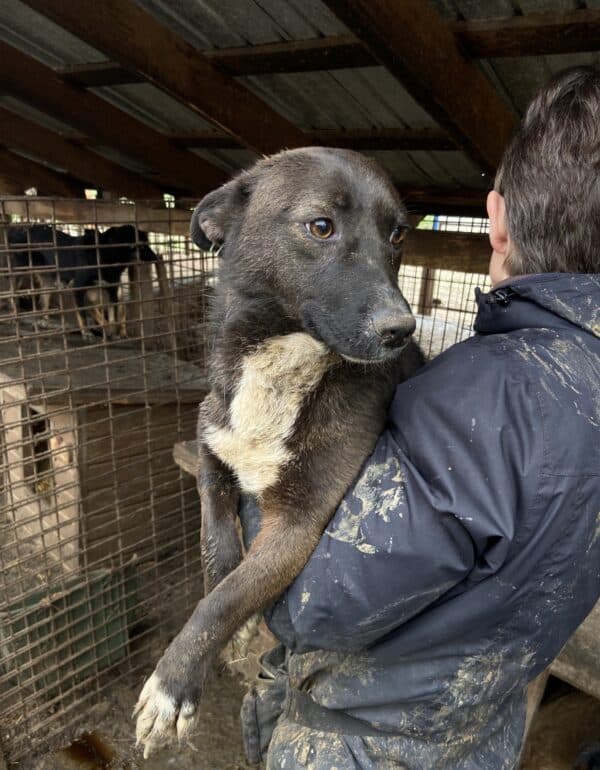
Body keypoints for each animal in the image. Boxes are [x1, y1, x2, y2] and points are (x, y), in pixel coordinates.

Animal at [134, 147, 424, 752]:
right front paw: (235, 614)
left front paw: (172, 688)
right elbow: (216, 547)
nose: (401, 330)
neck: (281, 358)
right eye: (321, 226)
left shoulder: (299, 521)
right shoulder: (212, 452)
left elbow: (223, 597)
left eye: (397, 234)